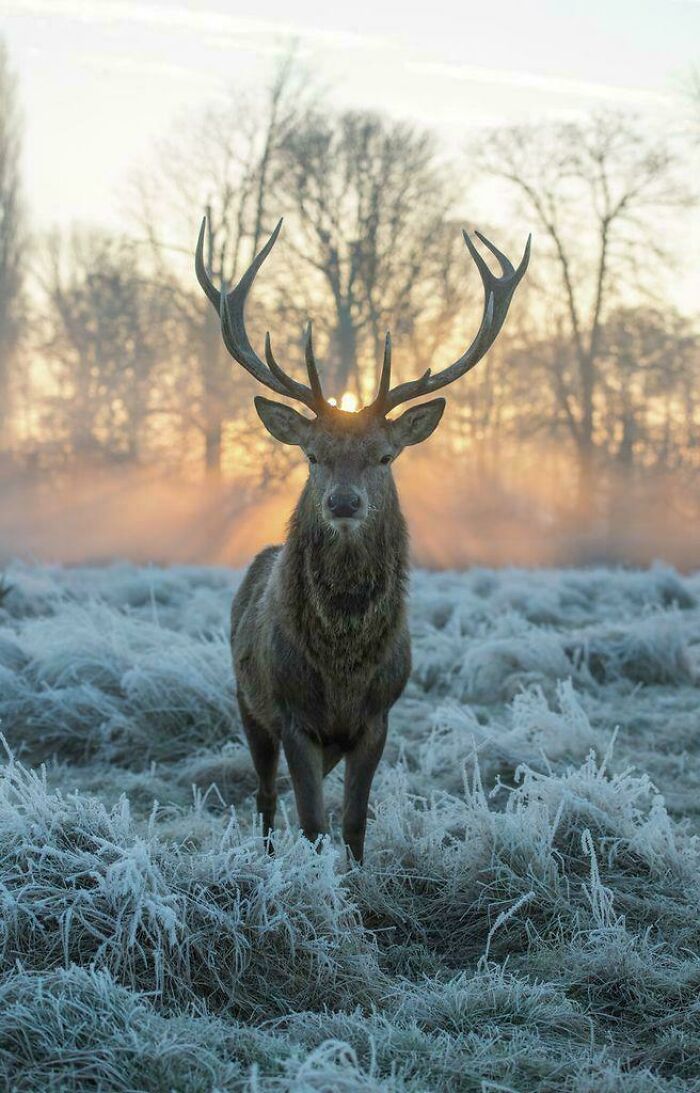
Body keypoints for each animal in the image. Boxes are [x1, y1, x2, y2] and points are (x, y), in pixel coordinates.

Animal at [195, 217, 529, 863]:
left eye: (385, 455)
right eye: (312, 454)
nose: (344, 502)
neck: (343, 669)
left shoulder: (379, 716)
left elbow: (352, 823)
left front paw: (356, 877)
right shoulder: (292, 714)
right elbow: (311, 822)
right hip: (247, 700)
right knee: (265, 795)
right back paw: (266, 856)